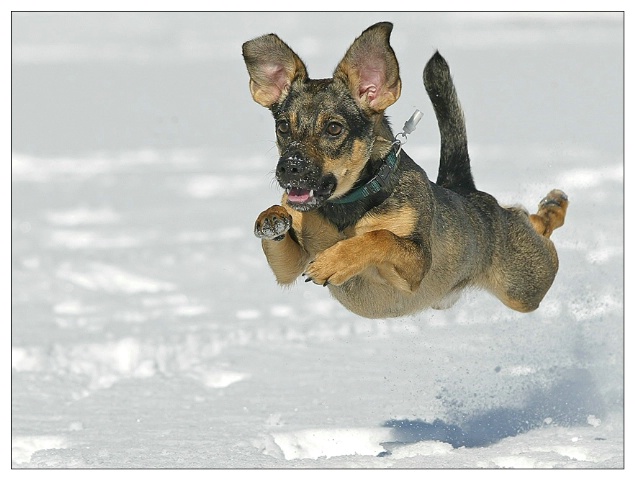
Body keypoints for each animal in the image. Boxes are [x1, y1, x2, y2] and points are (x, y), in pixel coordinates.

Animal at [241, 20, 568, 318]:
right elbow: (284, 244)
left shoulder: (417, 265)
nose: (289, 167)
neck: (348, 206)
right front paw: (272, 218)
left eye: (334, 128)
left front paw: (334, 262)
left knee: (534, 227)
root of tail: (466, 190)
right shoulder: (291, 267)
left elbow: (380, 237)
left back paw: (554, 205)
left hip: (524, 284)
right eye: (283, 127)